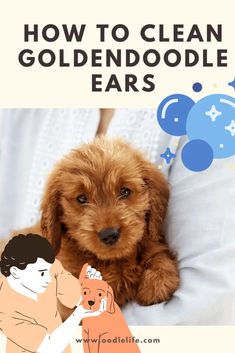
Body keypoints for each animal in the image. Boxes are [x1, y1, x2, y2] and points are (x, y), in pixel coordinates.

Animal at [40, 135, 179, 308]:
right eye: (81, 198)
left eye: (125, 191)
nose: (109, 234)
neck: (114, 262)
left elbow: (158, 255)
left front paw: (157, 283)